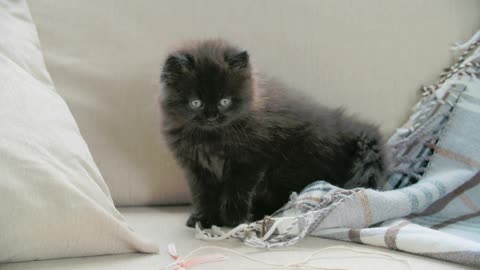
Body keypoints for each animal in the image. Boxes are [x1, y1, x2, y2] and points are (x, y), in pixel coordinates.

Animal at [159, 38, 388, 228]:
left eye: (225, 101)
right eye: (195, 103)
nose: (212, 115)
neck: (213, 138)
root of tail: (351, 129)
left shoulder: (251, 159)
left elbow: (237, 189)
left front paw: (234, 219)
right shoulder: (196, 167)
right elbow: (203, 195)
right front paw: (203, 219)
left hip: (293, 164)